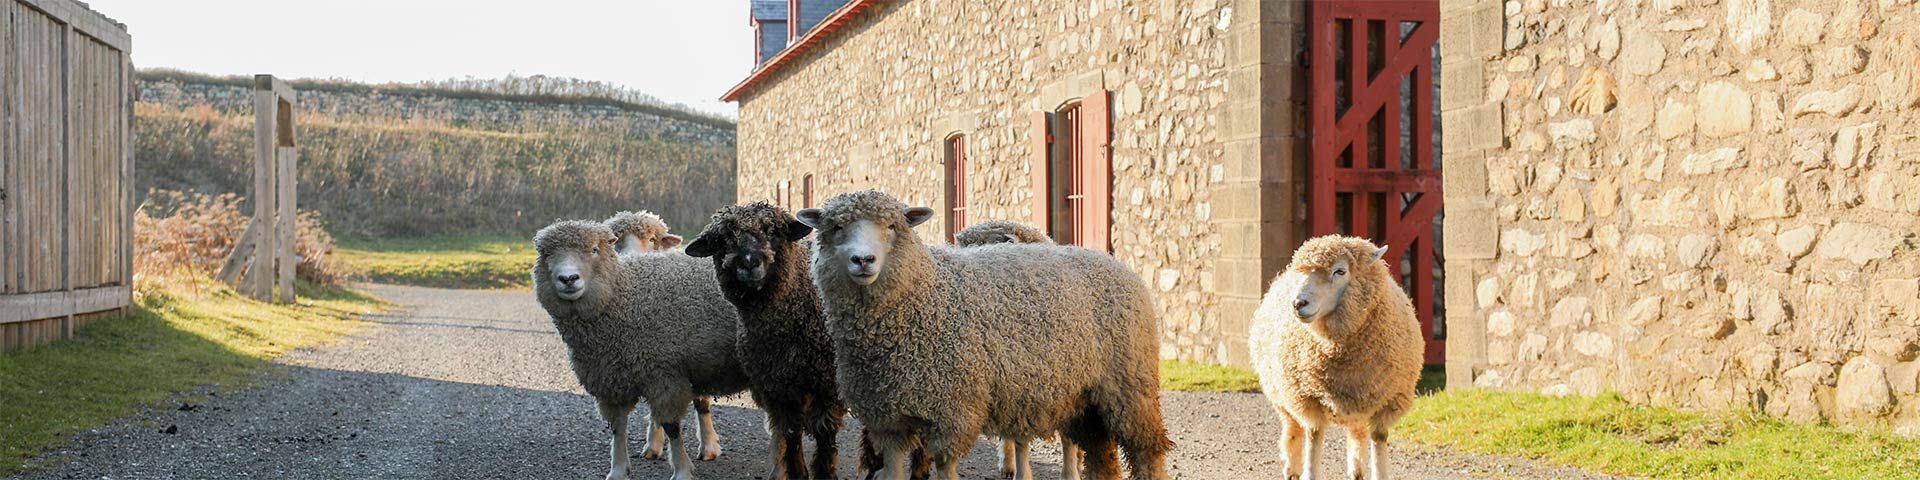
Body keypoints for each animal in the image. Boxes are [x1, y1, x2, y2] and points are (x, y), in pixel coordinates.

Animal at [794, 189, 1167, 480]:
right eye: (837, 228)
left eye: (891, 226)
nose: (863, 260)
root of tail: (1112, 261)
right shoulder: (886, 417)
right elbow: (892, 468)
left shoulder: (951, 411)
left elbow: (946, 467)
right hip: (1084, 399)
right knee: (1102, 455)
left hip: (1130, 387)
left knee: (1147, 451)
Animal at [1244, 236, 1428, 480]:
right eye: (1303, 273)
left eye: (1340, 271)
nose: (1298, 304)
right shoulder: (1309, 400)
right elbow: (1313, 437)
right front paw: (1308, 471)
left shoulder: (1387, 404)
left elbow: (1378, 444)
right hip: (1283, 395)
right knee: (1292, 429)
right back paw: (1292, 469)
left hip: (1359, 403)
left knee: (1356, 433)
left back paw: (1356, 469)